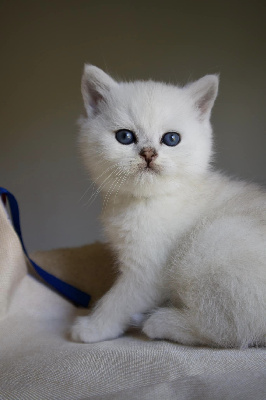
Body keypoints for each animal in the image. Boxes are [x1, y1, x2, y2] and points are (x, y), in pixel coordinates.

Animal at [70, 65, 266, 346]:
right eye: (125, 136)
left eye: (171, 139)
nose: (149, 153)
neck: (145, 202)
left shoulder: (146, 271)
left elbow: (118, 301)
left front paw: (92, 328)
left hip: (209, 243)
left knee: (229, 328)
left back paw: (157, 322)